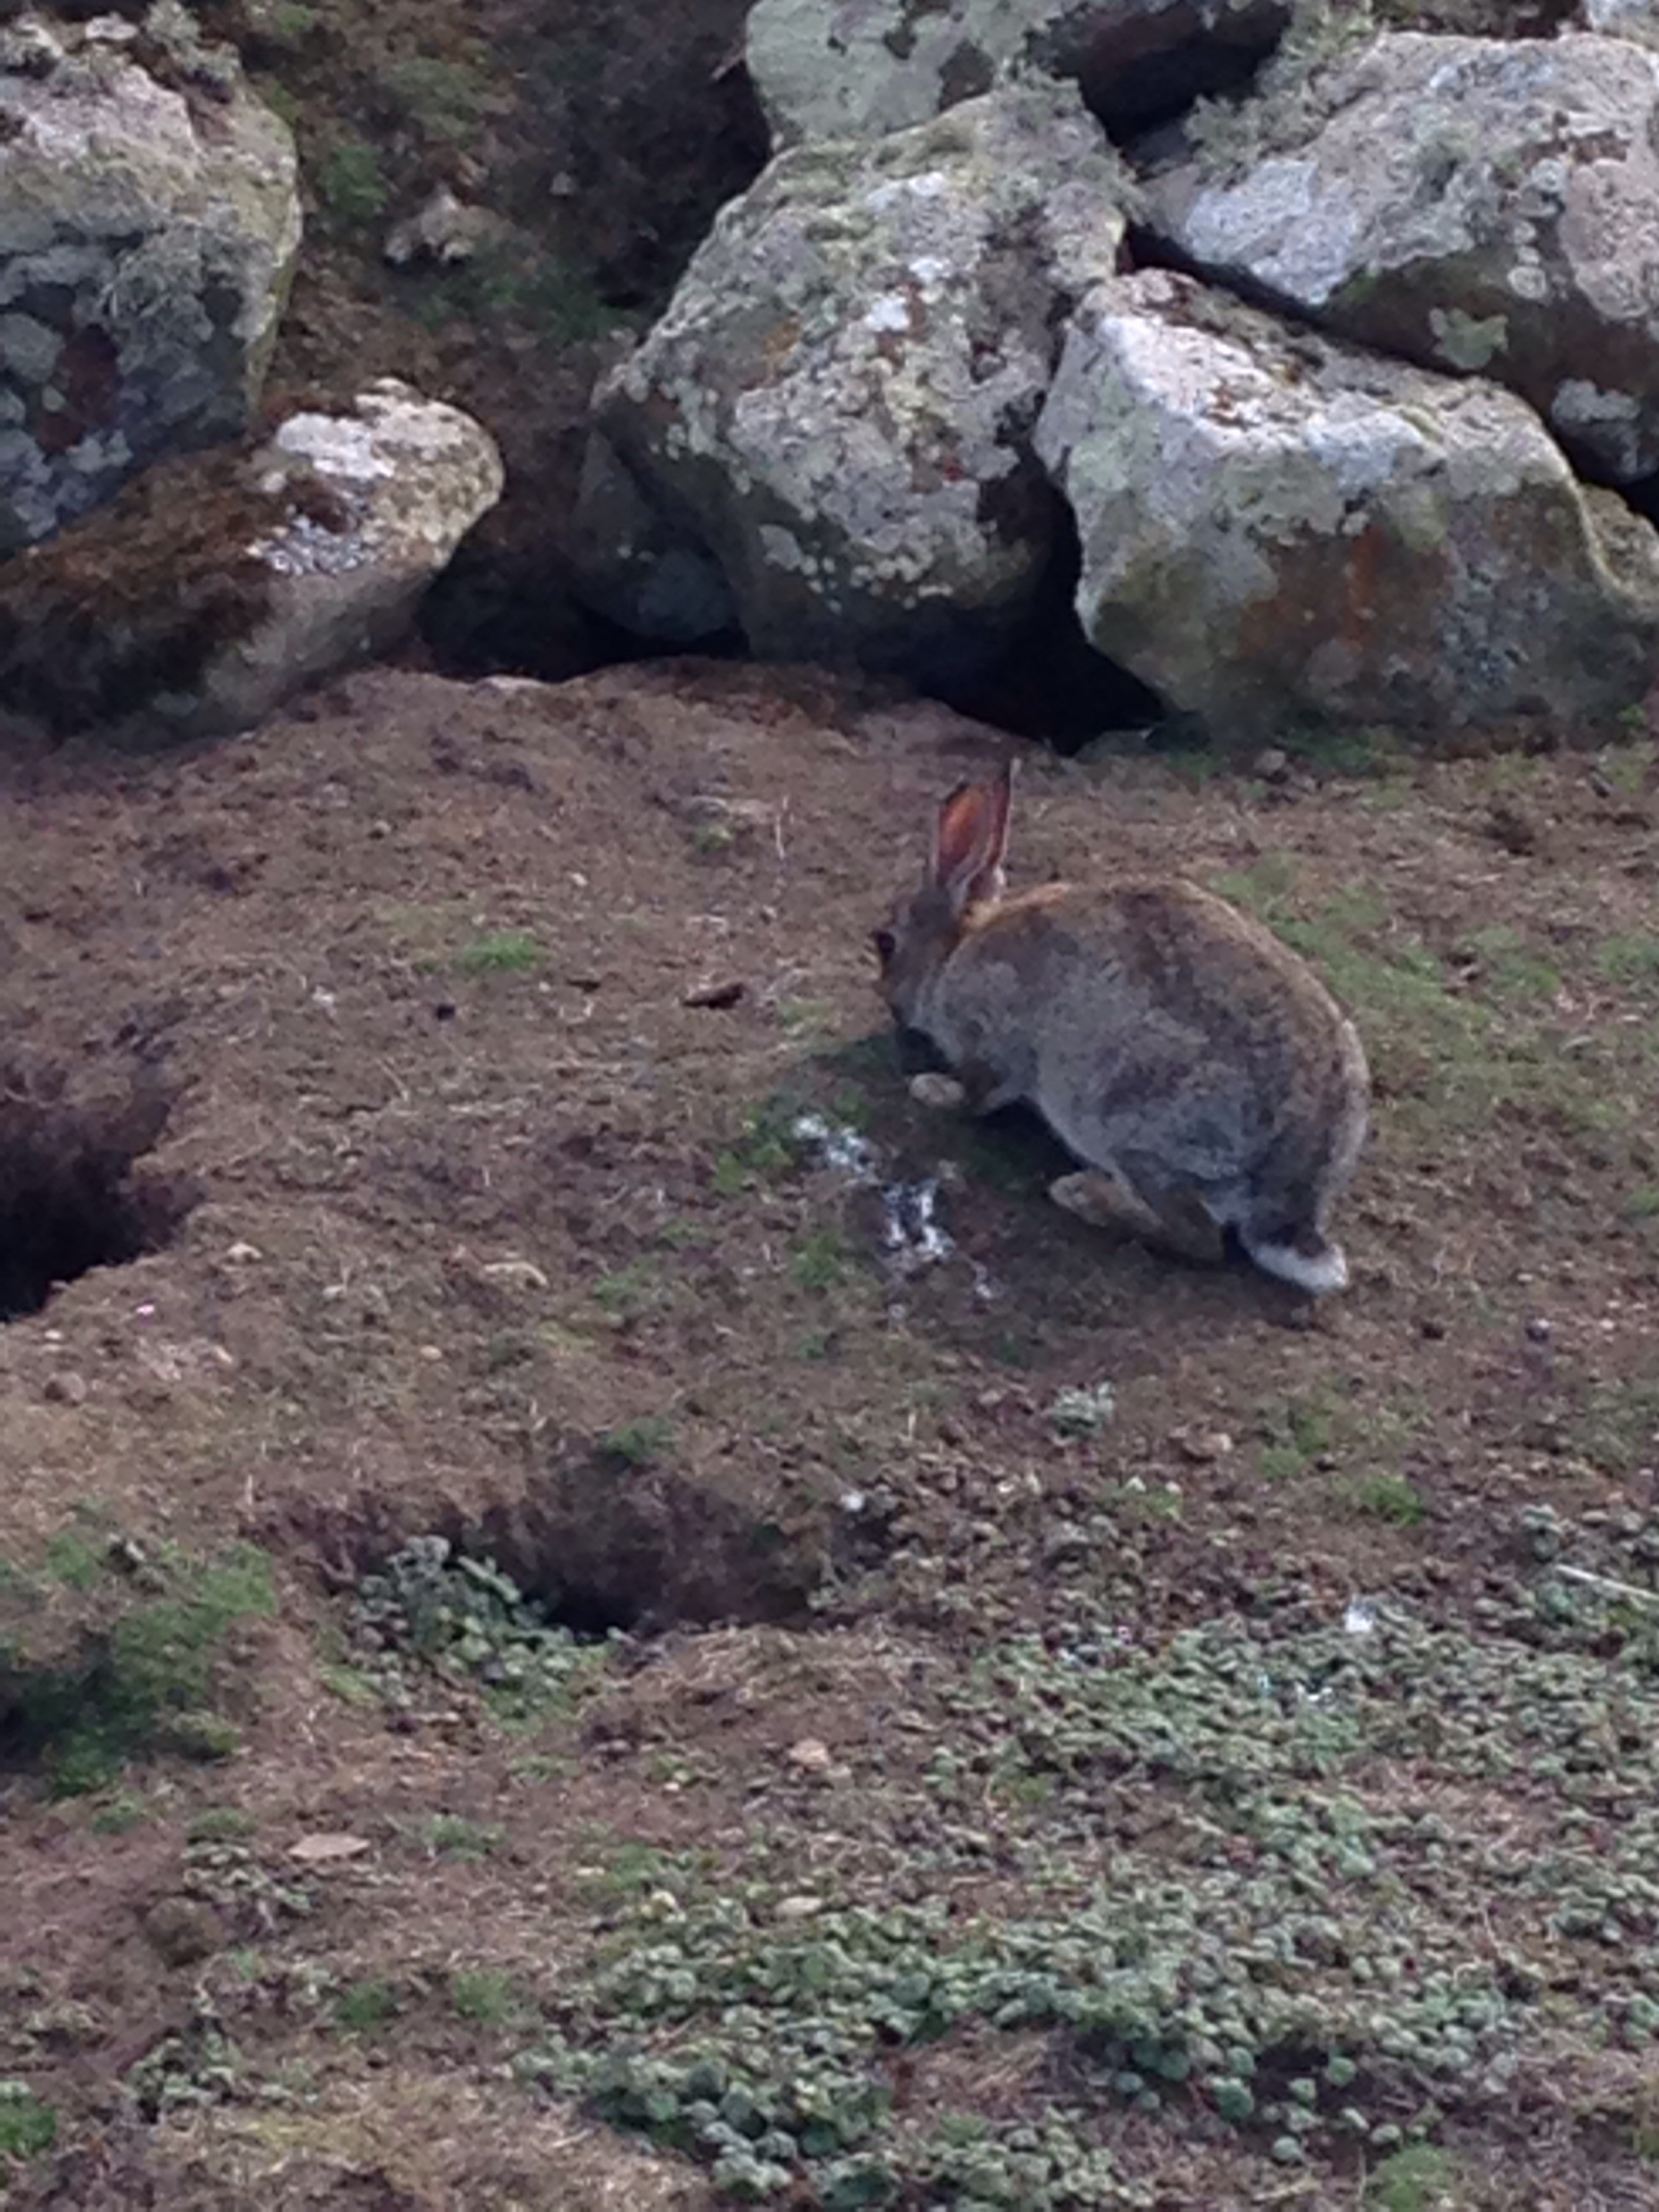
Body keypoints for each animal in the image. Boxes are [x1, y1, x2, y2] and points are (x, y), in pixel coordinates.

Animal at [872, 759, 1370, 1293]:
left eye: (886, 944)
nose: (889, 1002)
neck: (955, 952)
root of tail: (1292, 1197)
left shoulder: (992, 1040)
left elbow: (976, 1095)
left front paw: (931, 1089)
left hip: (1127, 1122)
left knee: (1199, 1238)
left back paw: (1082, 1194)